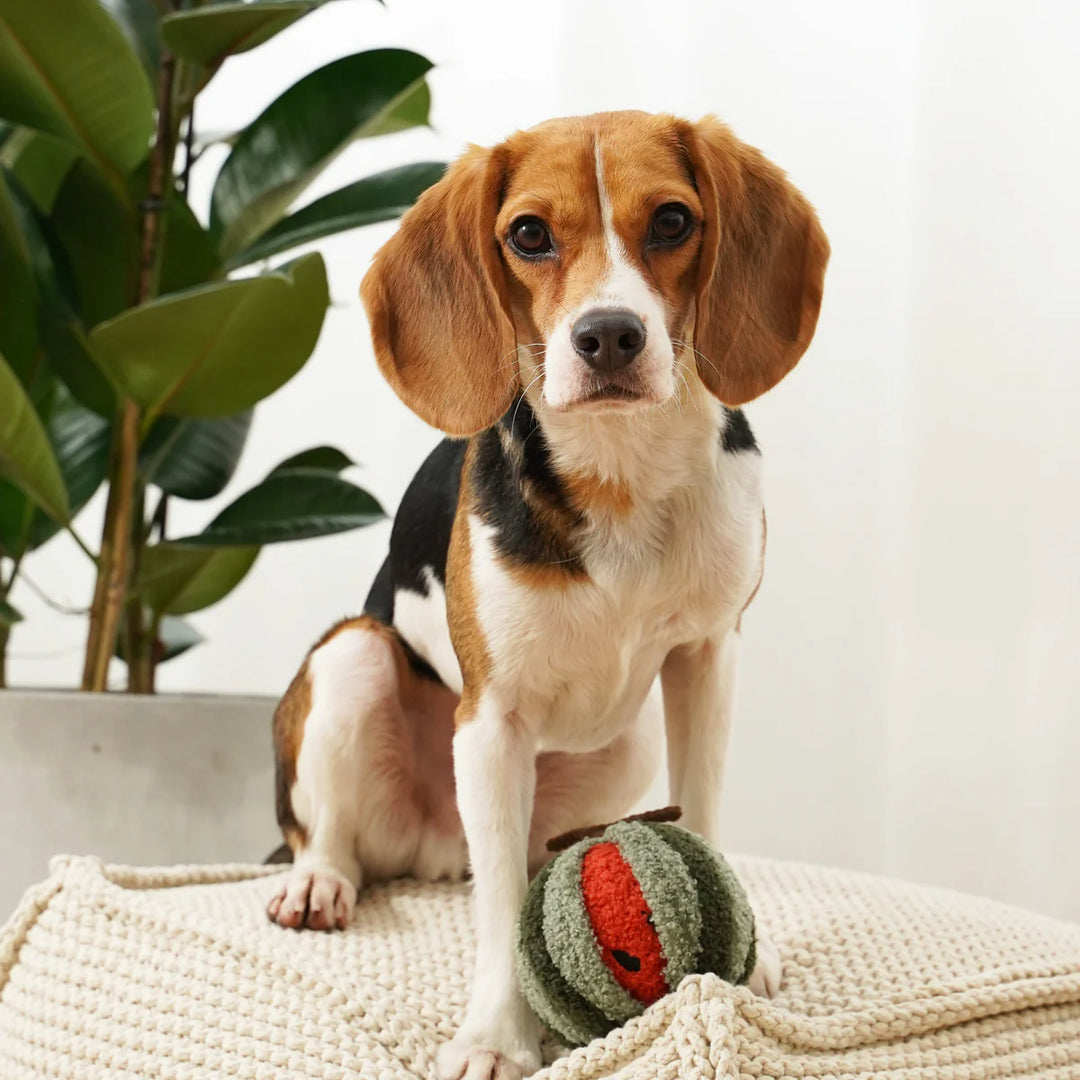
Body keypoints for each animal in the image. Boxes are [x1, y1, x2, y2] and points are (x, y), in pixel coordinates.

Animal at [265, 111, 829, 1080]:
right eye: (529, 234)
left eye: (673, 221)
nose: (609, 336)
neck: (621, 475)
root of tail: (432, 848)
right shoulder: (494, 722)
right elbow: (497, 917)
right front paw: (496, 1035)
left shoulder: (707, 660)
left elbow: (705, 807)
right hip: (354, 658)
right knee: (343, 836)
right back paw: (318, 882)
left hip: (628, 742)